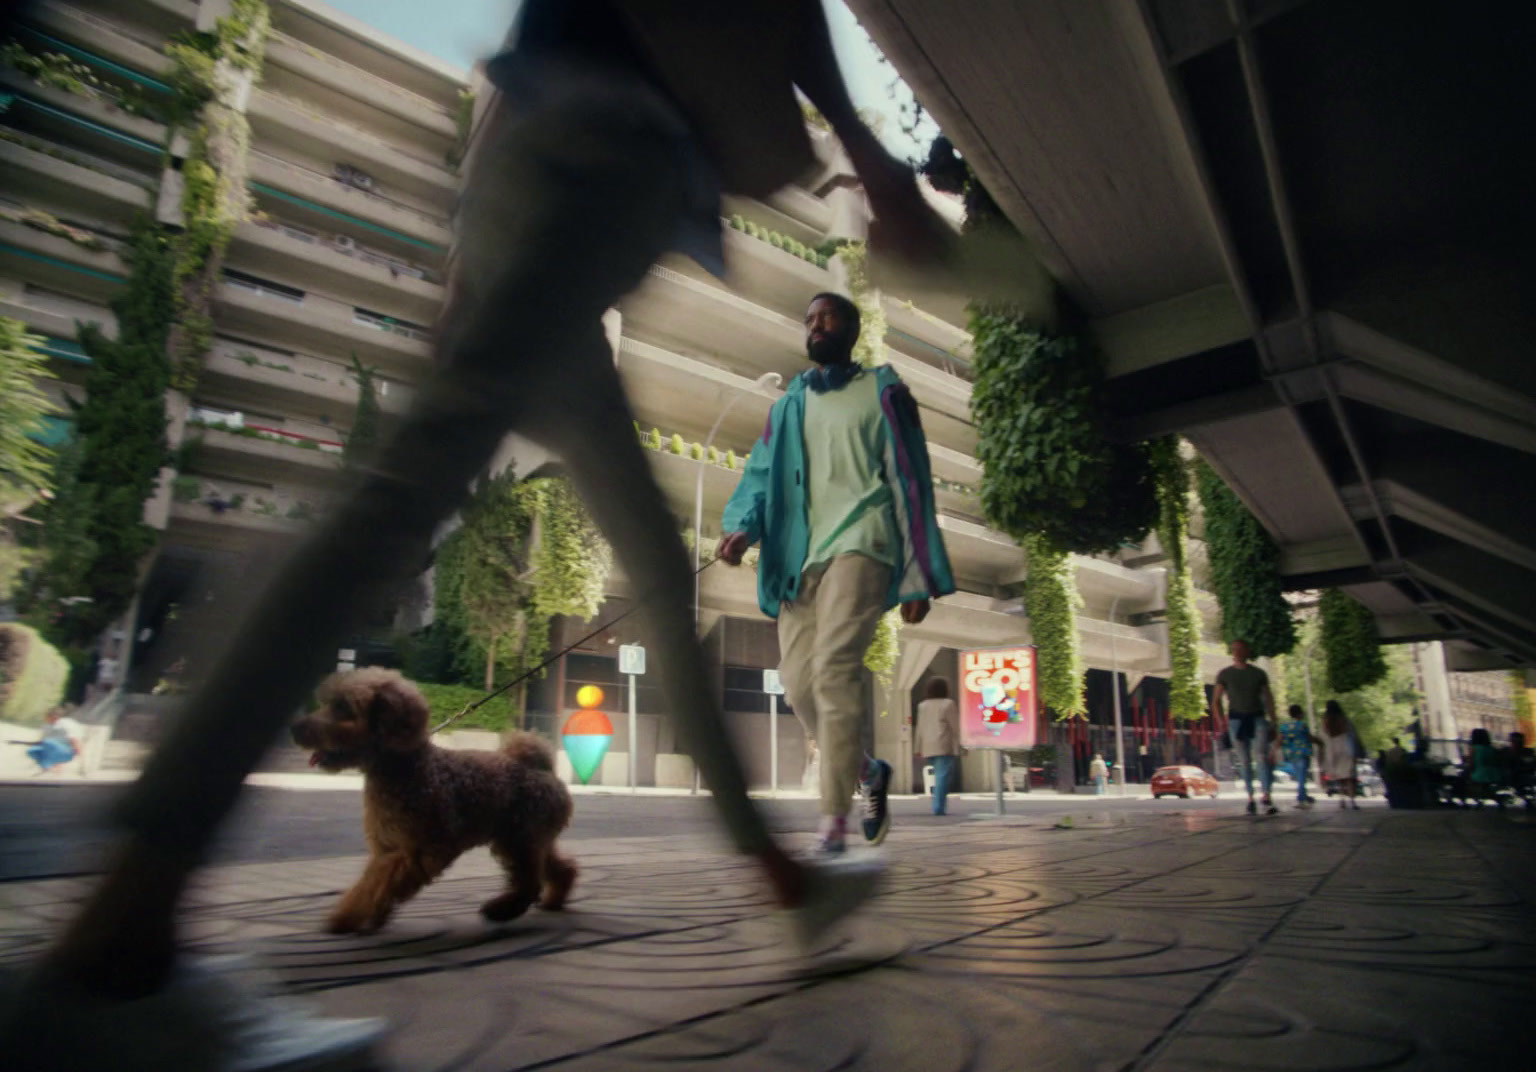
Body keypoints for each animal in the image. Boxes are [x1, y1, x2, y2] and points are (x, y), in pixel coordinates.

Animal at [288, 663, 577, 933]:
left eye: (344, 707)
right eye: (328, 703)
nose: (295, 728)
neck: (405, 769)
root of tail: (541, 767)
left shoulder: (422, 851)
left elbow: (377, 883)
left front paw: (350, 917)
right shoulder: (388, 846)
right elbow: (372, 881)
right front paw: (368, 915)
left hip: (520, 838)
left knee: (529, 882)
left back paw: (500, 910)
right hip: (527, 837)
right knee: (559, 867)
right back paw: (554, 899)